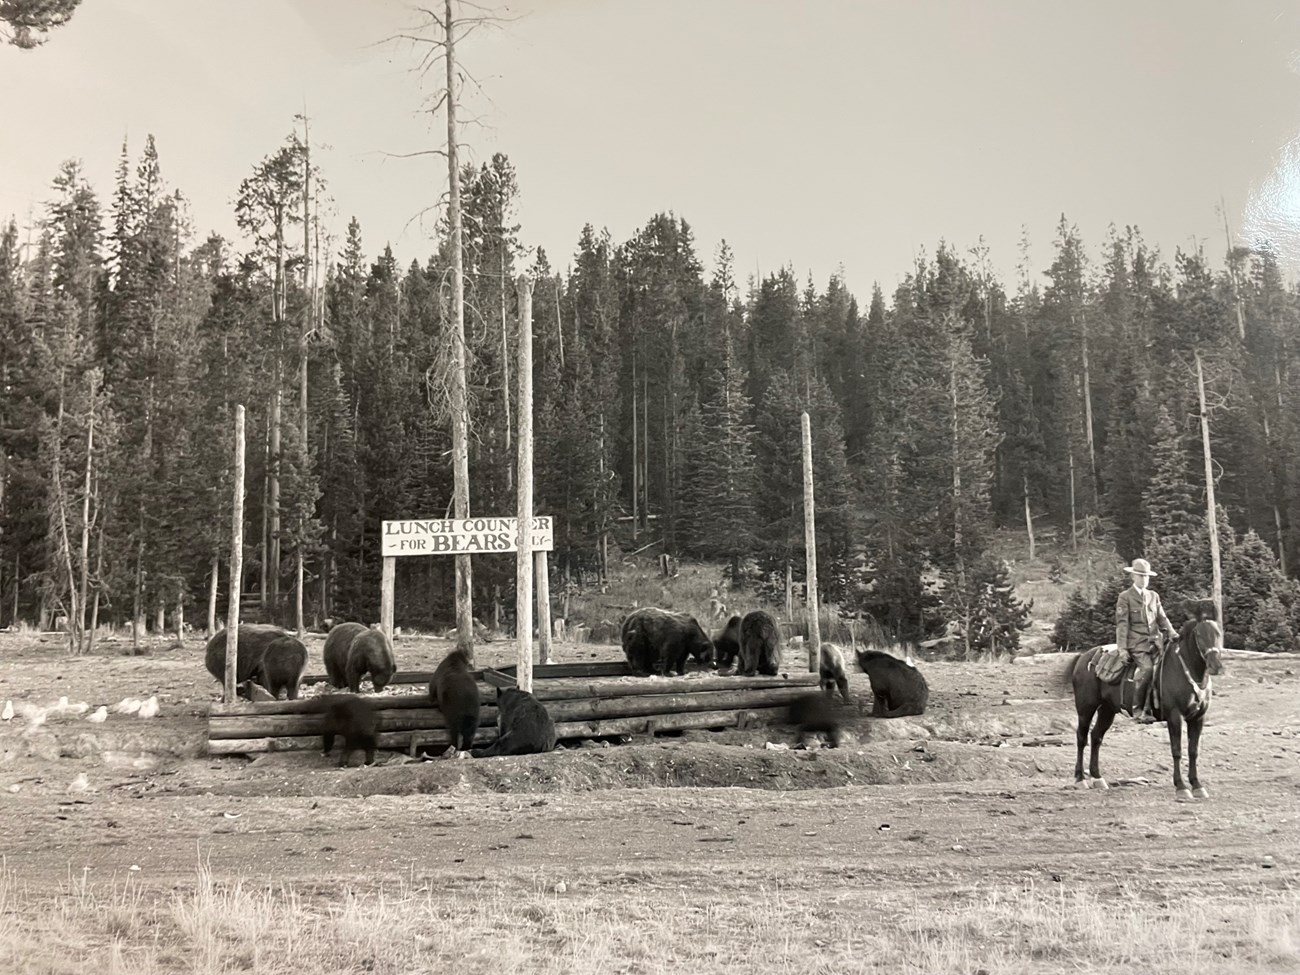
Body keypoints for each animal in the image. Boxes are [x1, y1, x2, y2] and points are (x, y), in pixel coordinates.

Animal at [1060, 613, 1222, 806]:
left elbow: (1193, 751)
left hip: (1107, 710)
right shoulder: (1175, 717)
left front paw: (1197, 786)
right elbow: (1177, 751)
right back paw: (1080, 779)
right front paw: (1181, 787)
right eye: (1199, 634)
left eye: (1218, 632)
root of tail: (1085, 657)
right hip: (1086, 708)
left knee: (1096, 736)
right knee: (1081, 738)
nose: (1215, 665)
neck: (1186, 670)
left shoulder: (1197, 718)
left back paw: (1097, 778)